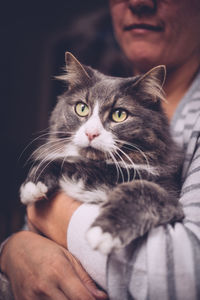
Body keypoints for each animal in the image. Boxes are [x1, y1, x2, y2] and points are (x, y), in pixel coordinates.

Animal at [19, 51, 184, 253]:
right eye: (82, 108)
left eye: (119, 114)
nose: (91, 133)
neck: (100, 169)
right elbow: (59, 160)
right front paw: (32, 186)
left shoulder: (169, 195)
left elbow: (140, 191)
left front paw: (103, 232)